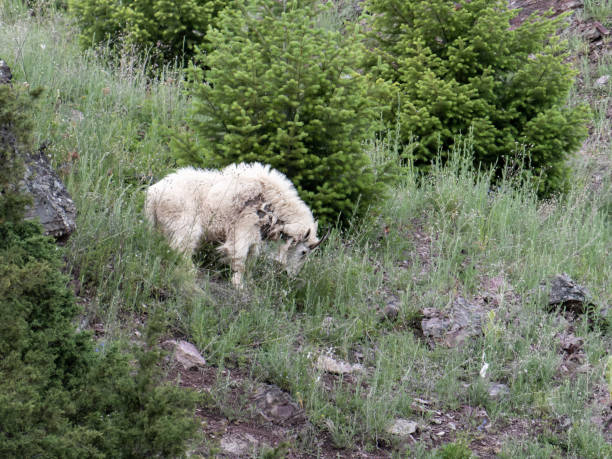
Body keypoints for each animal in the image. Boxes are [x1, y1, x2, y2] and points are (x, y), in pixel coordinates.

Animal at [145, 161, 326, 284]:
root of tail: (153, 195)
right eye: (304, 252)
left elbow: (252, 258)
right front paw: (238, 285)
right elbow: (240, 257)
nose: (290, 275)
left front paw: (250, 282)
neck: (271, 204)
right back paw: (191, 272)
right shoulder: (244, 228)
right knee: (181, 248)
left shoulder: (255, 236)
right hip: (186, 224)